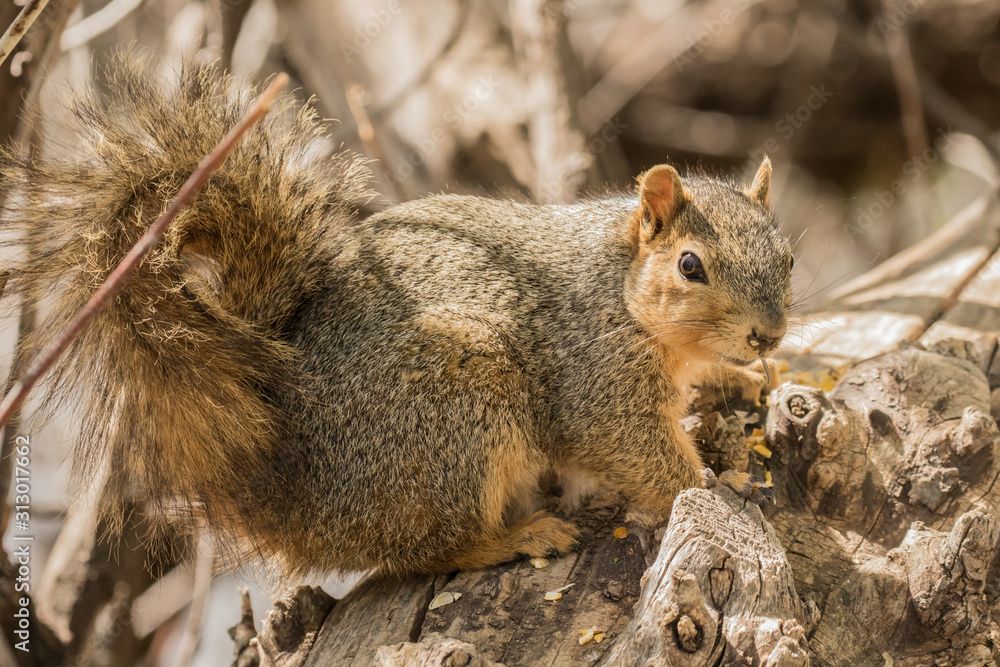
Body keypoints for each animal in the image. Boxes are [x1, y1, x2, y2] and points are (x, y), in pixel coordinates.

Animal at [0, 53, 791, 578]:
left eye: (787, 254)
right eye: (690, 266)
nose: (769, 333)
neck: (623, 292)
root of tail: (291, 501)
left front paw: (751, 379)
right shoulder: (593, 374)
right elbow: (634, 448)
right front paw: (716, 486)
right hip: (456, 404)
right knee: (425, 550)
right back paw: (518, 537)